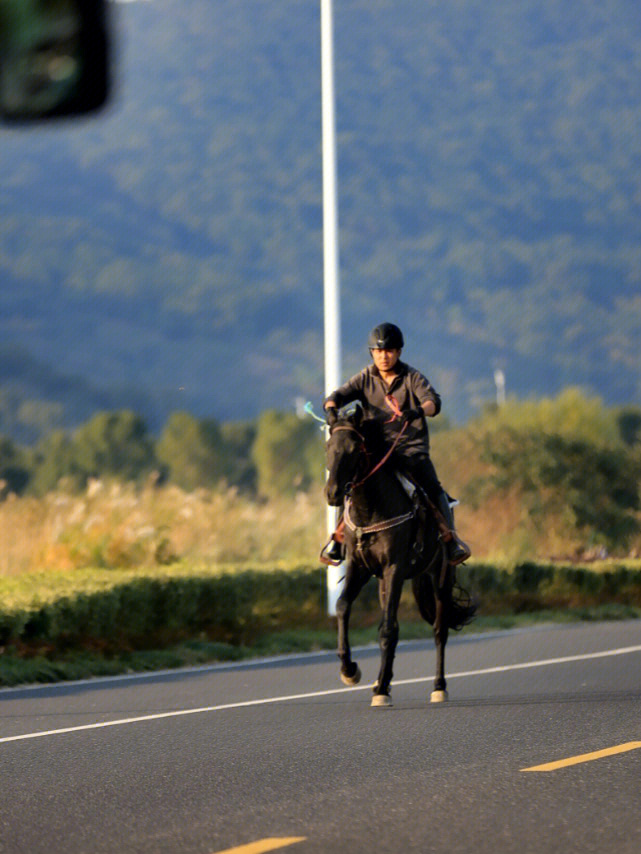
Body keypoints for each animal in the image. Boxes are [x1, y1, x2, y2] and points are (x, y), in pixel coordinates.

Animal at [324, 408, 476, 708]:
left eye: (354, 448)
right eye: (328, 447)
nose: (333, 493)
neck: (370, 509)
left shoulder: (394, 568)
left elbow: (388, 629)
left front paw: (382, 690)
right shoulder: (359, 568)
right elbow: (343, 607)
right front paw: (350, 670)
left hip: (440, 577)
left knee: (439, 631)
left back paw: (438, 687)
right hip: (386, 582)